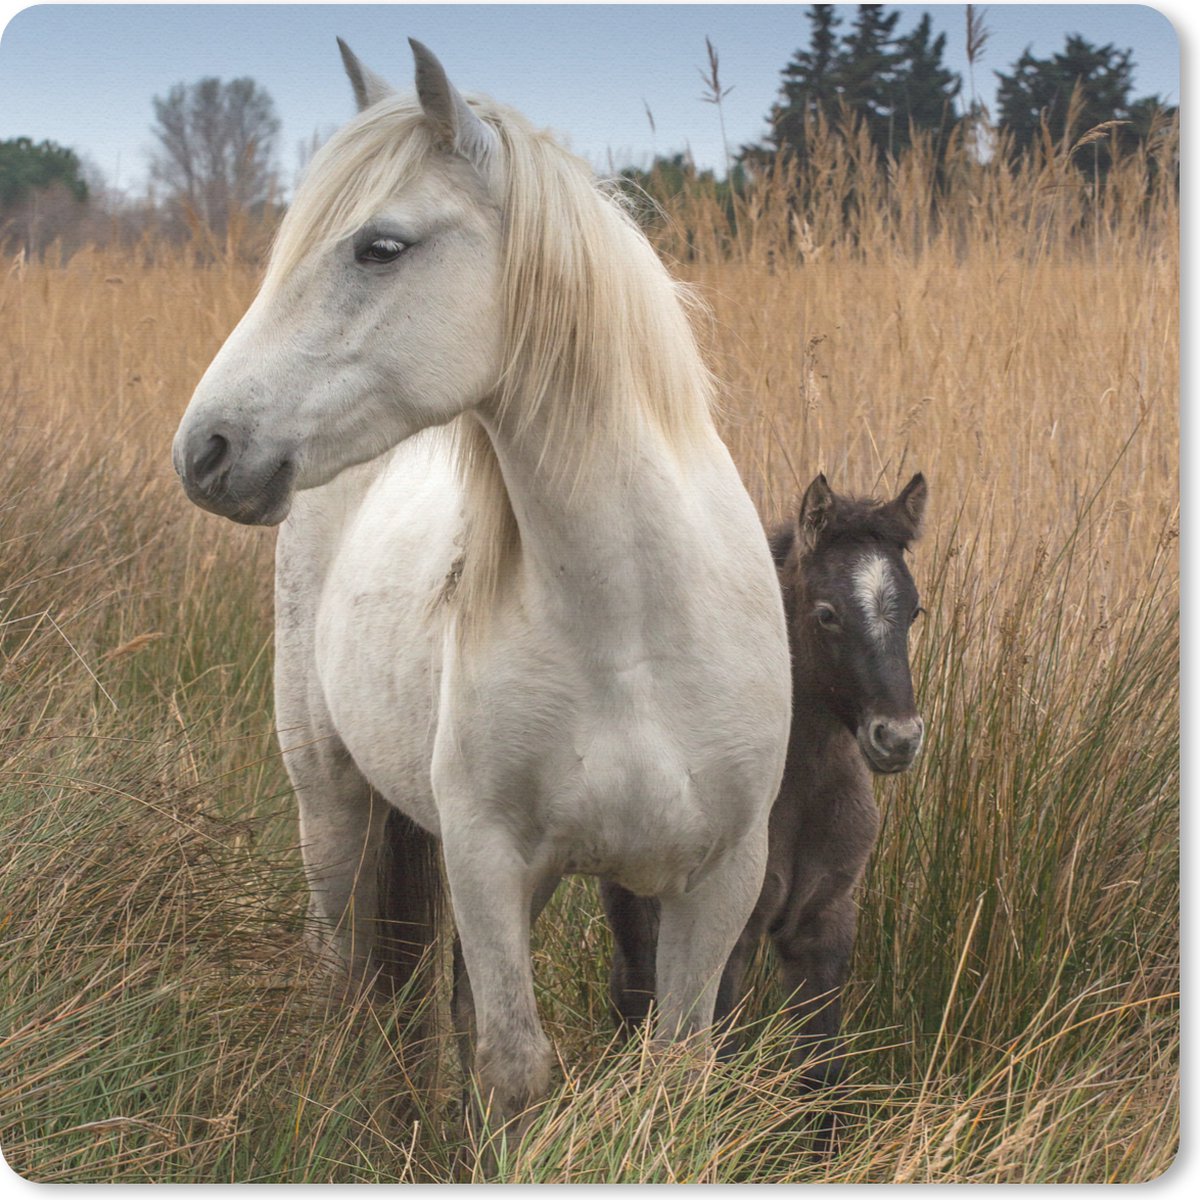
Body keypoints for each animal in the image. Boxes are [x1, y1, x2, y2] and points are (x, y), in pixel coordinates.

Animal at [171, 39, 791, 1127]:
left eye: (380, 247)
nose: (206, 451)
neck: (633, 631)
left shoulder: (718, 879)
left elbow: (673, 1071)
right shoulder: (488, 859)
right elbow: (512, 1067)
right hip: (329, 796)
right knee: (343, 965)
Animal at [602, 472, 927, 1104]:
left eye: (915, 610)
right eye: (827, 614)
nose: (897, 738)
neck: (800, 792)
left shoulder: (823, 927)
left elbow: (822, 1073)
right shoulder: (734, 934)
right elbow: (718, 1063)